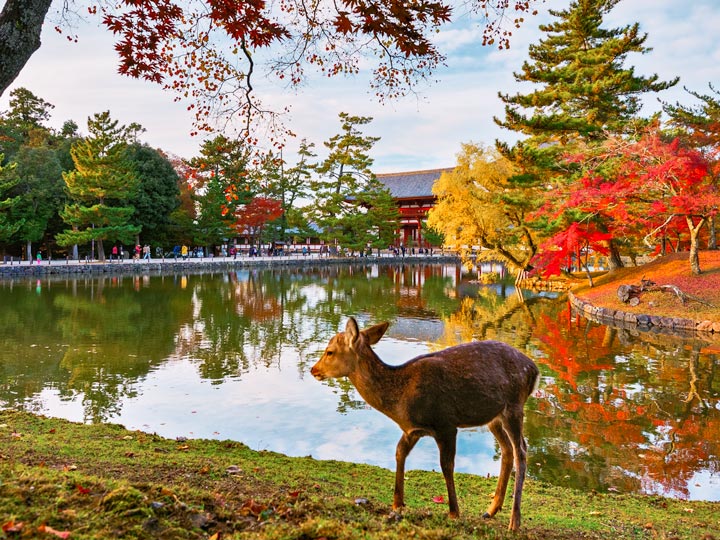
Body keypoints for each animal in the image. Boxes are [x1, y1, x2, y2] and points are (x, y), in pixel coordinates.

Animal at [310, 316, 540, 532]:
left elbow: (446, 466)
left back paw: (514, 521)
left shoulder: (445, 423)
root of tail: (534, 370)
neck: (401, 400)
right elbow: (399, 452)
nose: (314, 370)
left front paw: (454, 512)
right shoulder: (412, 430)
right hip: (494, 417)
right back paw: (491, 510)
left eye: (330, 352)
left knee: (521, 450)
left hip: (514, 405)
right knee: (507, 449)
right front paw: (397, 503)